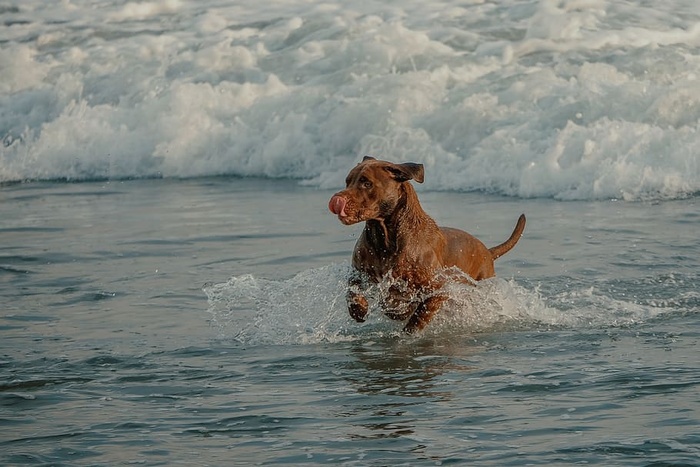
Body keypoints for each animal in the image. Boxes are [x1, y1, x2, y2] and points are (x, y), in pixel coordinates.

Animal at [328, 156, 524, 332]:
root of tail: (488, 252)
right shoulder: (359, 272)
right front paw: (359, 309)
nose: (336, 199)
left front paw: (410, 328)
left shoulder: (438, 288)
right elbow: (352, 291)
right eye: (347, 181)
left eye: (366, 183)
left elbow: (420, 312)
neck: (385, 238)